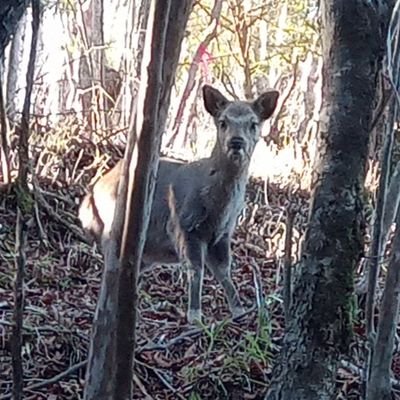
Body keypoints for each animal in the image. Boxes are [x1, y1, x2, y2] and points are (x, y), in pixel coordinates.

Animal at [78, 85, 278, 324]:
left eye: (253, 123)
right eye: (223, 121)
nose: (236, 142)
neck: (216, 208)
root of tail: (86, 202)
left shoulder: (222, 235)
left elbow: (224, 271)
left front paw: (239, 311)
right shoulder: (185, 225)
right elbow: (195, 270)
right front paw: (195, 317)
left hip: (147, 253)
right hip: (111, 228)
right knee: (111, 269)